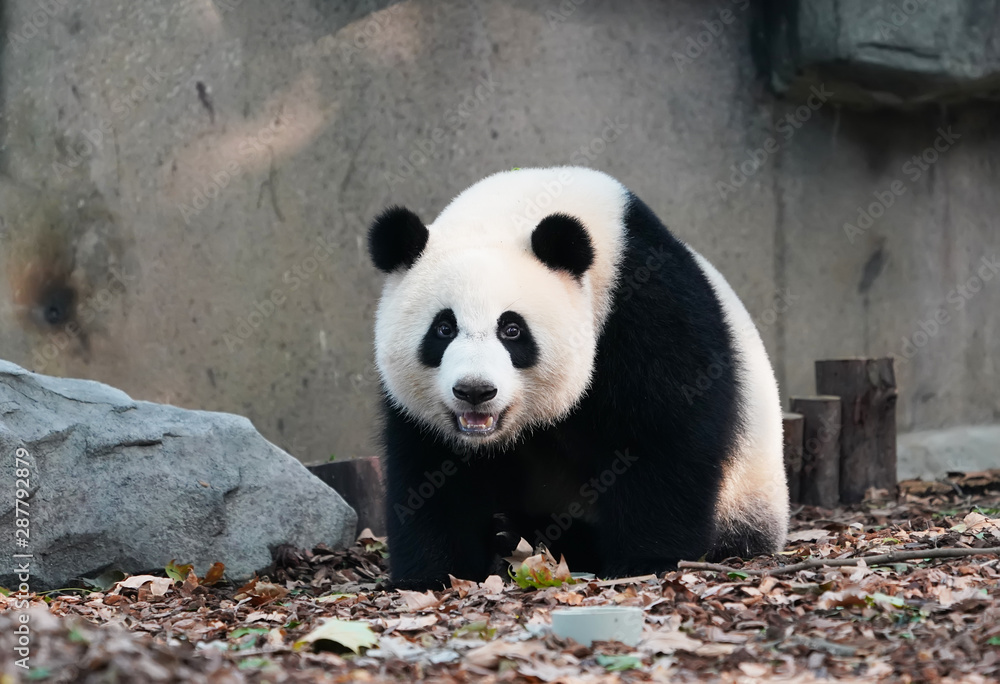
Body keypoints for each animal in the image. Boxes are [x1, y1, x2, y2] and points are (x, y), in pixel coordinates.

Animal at [368, 167, 788, 588]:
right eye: (443, 328)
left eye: (512, 329)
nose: (475, 391)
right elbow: (432, 469)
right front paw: (433, 574)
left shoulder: (645, 306)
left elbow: (663, 435)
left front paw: (646, 559)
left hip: (749, 492)